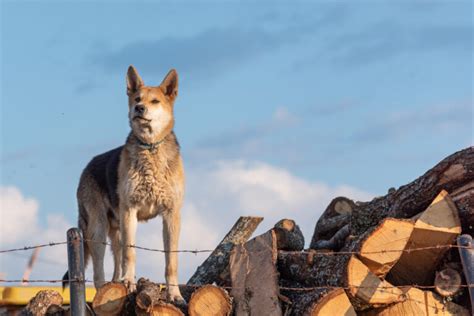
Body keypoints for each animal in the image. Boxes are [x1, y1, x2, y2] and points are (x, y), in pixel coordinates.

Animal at [64, 66, 185, 304]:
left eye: (154, 101)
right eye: (137, 99)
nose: (139, 108)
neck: (150, 147)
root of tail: (87, 167)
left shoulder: (171, 214)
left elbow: (171, 261)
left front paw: (174, 294)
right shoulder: (130, 211)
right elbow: (131, 252)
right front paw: (129, 282)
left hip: (116, 230)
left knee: (115, 267)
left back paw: (116, 285)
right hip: (98, 230)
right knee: (99, 273)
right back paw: (104, 294)